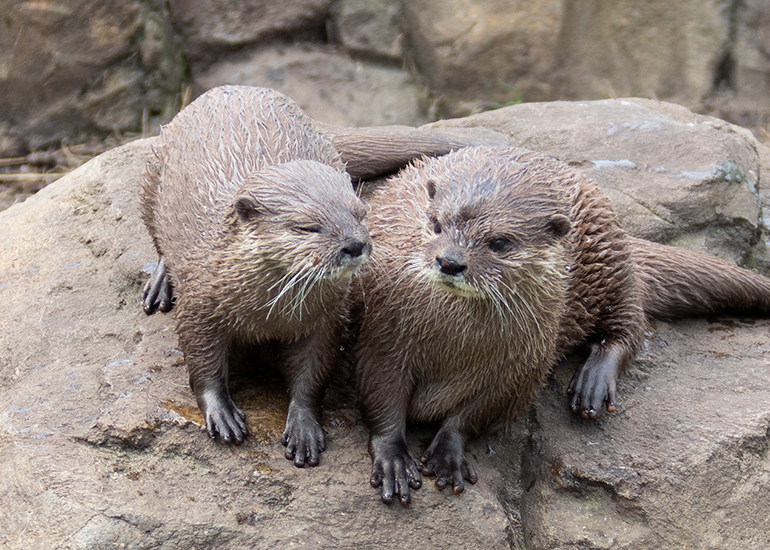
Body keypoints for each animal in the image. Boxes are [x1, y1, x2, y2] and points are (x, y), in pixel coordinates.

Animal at [140, 86, 371, 467]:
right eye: (307, 226)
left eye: (360, 213)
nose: (355, 244)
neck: (267, 314)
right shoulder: (199, 304)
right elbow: (201, 361)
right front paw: (221, 413)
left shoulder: (327, 320)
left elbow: (313, 373)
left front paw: (304, 427)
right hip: (150, 176)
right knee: (158, 242)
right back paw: (159, 284)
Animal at [354, 145, 770, 505]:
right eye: (436, 223)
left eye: (499, 242)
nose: (450, 261)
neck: (454, 344)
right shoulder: (384, 335)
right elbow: (381, 393)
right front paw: (393, 459)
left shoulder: (522, 368)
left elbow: (480, 412)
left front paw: (448, 452)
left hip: (611, 260)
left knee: (630, 327)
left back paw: (592, 384)